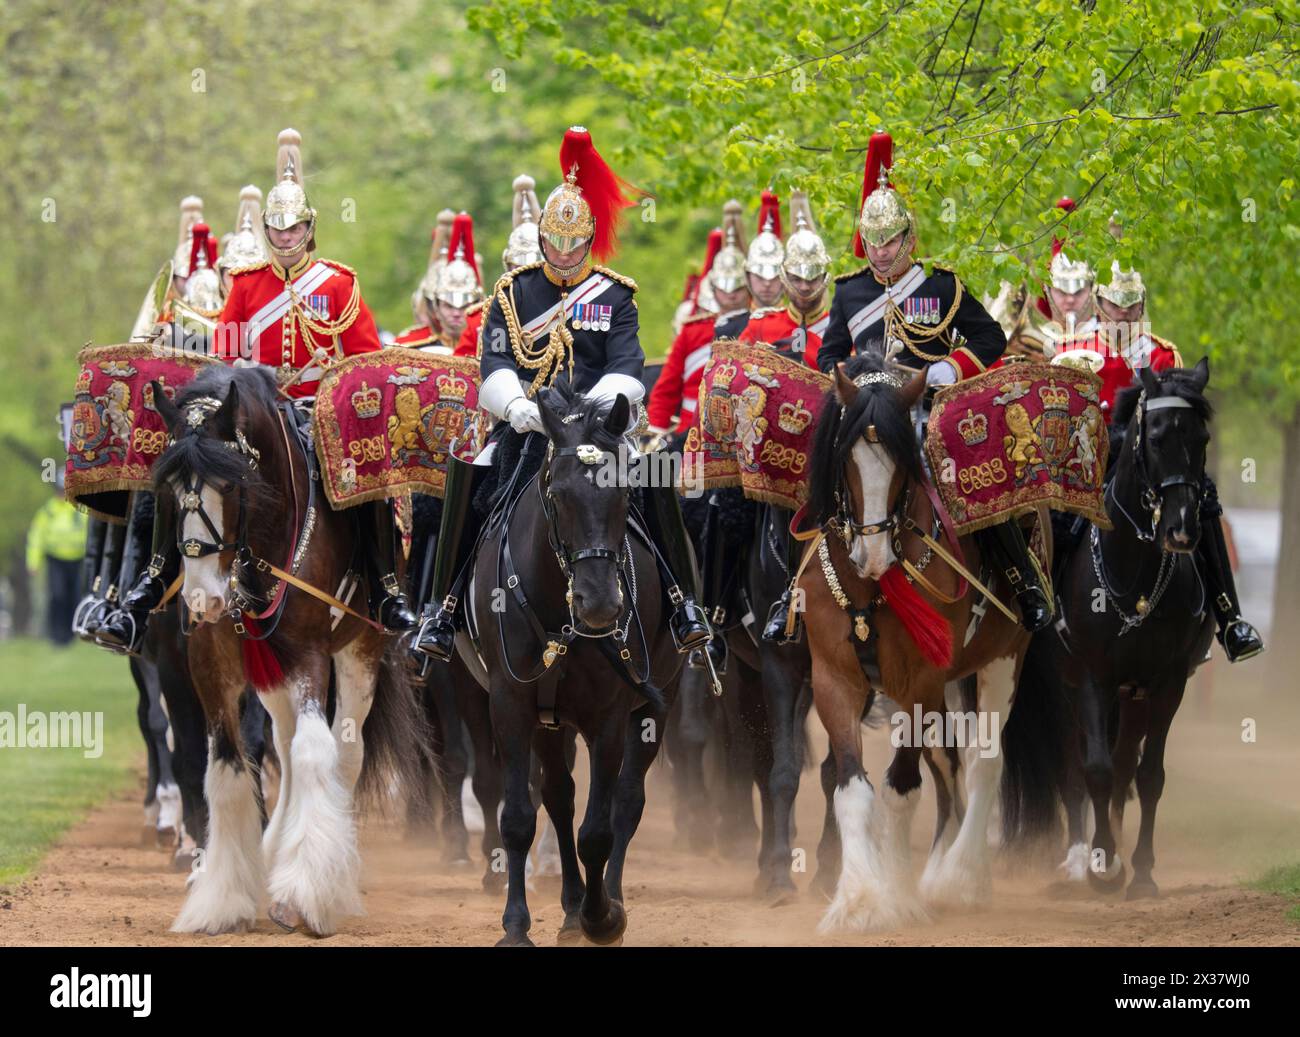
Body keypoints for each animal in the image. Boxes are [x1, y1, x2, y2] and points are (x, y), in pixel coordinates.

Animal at [150, 366, 426, 940]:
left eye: (231, 483)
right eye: (166, 489)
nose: (202, 600)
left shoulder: (310, 655)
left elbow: (316, 752)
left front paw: (305, 894)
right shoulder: (211, 666)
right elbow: (227, 768)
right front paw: (221, 897)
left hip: (360, 652)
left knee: (341, 752)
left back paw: (326, 873)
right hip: (272, 675)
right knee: (285, 743)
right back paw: (275, 854)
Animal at [454, 384, 681, 951]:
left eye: (625, 496)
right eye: (557, 495)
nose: (600, 606)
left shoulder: (609, 715)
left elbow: (598, 829)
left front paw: (604, 918)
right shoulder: (511, 704)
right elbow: (519, 816)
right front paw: (517, 926)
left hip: (656, 705)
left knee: (626, 802)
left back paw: (605, 903)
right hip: (549, 721)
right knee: (558, 797)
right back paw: (572, 907)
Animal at [795, 358, 1040, 935]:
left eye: (903, 464)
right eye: (845, 458)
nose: (873, 556)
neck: (870, 590)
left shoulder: (921, 681)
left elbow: (900, 789)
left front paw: (898, 895)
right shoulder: (835, 679)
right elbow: (853, 789)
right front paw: (859, 898)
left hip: (1002, 661)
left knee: (984, 763)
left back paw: (960, 879)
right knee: (950, 768)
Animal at [1003, 358, 1216, 899]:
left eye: (1202, 436)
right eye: (1156, 436)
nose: (1181, 530)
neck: (1134, 571)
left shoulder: (1166, 683)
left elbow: (1148, 775)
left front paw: (1139, 870)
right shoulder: (1092, 677)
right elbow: (1093, 770)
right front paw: (1100, 863)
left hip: (1132, 693)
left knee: (1123, 766)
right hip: (1063, 685)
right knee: (1072, 766)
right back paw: (1082, 857)